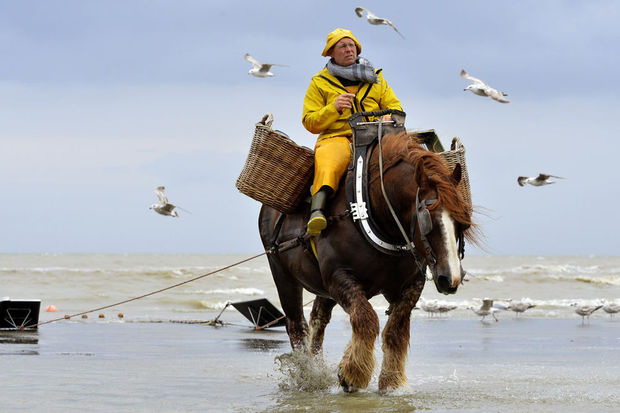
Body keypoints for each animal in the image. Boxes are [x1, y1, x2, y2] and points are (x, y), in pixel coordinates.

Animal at [260, 133, 472, 392]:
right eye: (428, 219)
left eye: (462, 222)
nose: (450, 278)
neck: (377, 215)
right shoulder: (339, 278)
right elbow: (366, 319)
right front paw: (352, 373)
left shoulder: (409, 285)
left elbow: (396, 330)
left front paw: (392, 382)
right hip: (282, 273)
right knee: (295, 325)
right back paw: (306, 374)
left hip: (322, 287)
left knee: (319, 318)